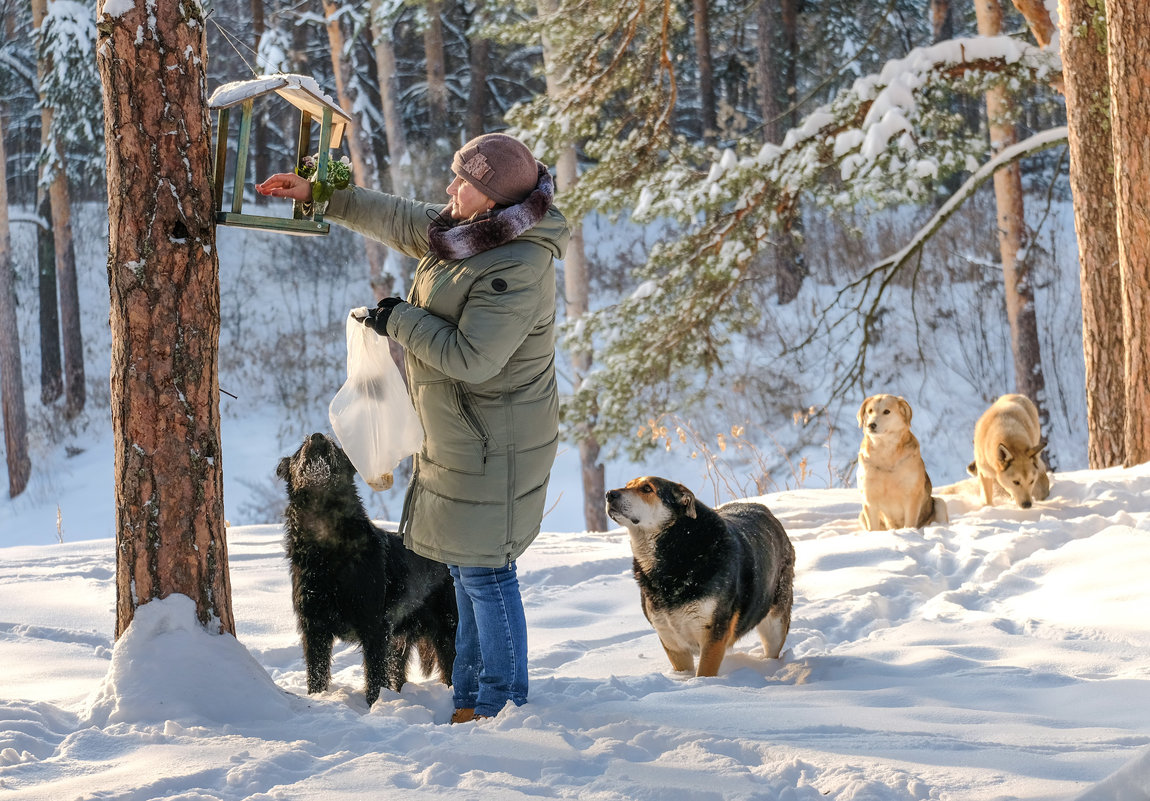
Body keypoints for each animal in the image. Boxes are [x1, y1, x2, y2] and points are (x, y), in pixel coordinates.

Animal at [276, 434, 455, 703]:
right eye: (300, 449)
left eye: (337, 447)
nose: (318, 437)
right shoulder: (314, 627)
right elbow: (316, 673)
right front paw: (317, 698)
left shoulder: (375, 628)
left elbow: (374, 677)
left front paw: (374, 705)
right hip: (400, 642)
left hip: (448, 629)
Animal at [607, 475, 795, 675]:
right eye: (628, 485)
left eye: (647, 489)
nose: (609, 494)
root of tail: (767, 511)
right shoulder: (671, 641)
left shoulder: (714, 635)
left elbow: (704, 673)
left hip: (775, 624)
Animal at [860, 393, 947, 530]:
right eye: (870, 411)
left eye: (886, 411)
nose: (871, 425)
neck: (885, 452)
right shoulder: (869, 499)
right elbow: (873, 528)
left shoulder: (912, 496)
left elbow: (909, 523)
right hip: (862, 515)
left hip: (940, 503)